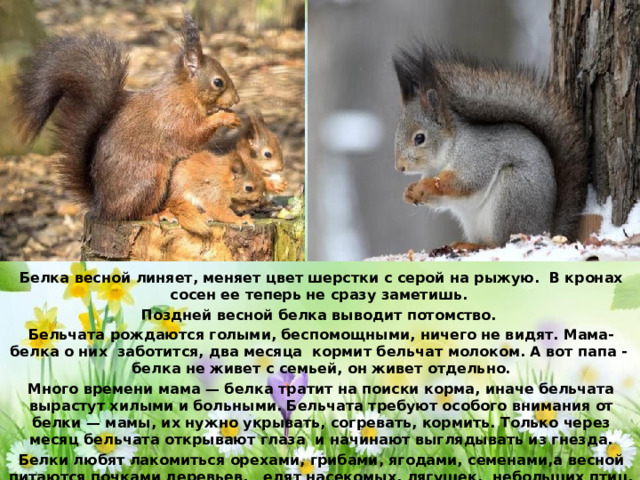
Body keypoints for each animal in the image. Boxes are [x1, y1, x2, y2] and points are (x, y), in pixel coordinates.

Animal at [13, 14, 241, 222]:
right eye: (218, 82)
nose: (237, 99)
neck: (185, 93)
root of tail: (104, 207)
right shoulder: (175, 117)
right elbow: (192, 135)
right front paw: (224, 118)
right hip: (149, 179)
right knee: (136, 214)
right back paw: (159, 214)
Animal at [392, 45, 589, 246]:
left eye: (419, 138)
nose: (400, 167)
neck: (448, 151)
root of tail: (545, 230)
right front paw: (410, 192)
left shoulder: (477, 156)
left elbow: (465, 182)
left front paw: (427, 185)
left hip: (511, 193)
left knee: (500, 242)